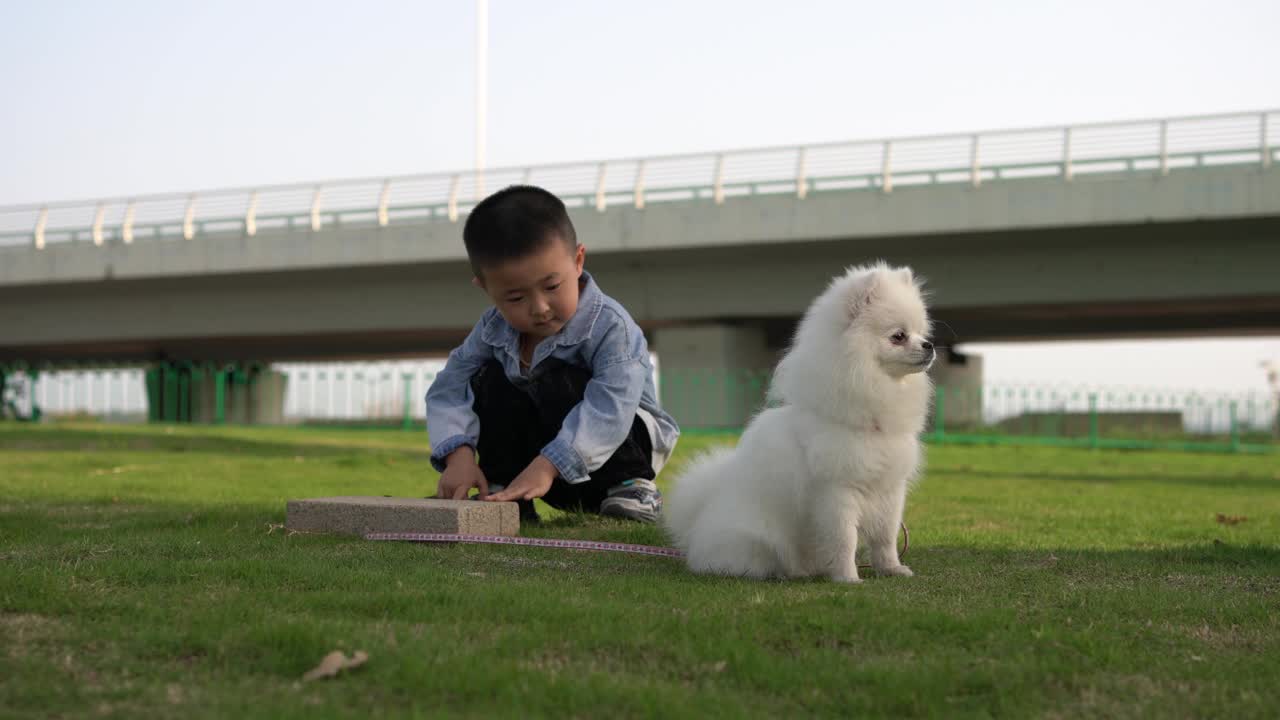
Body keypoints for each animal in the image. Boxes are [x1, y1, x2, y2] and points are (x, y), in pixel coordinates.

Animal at [665, 260, 936, 579]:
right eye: (898, 336)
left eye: (920, 332)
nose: (929, 345)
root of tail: (699, 518)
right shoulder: (836, 492)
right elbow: (844, 539)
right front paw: (847, 577)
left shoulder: (889, 490)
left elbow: (885, 538)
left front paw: (892, 569)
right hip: (757, 540)